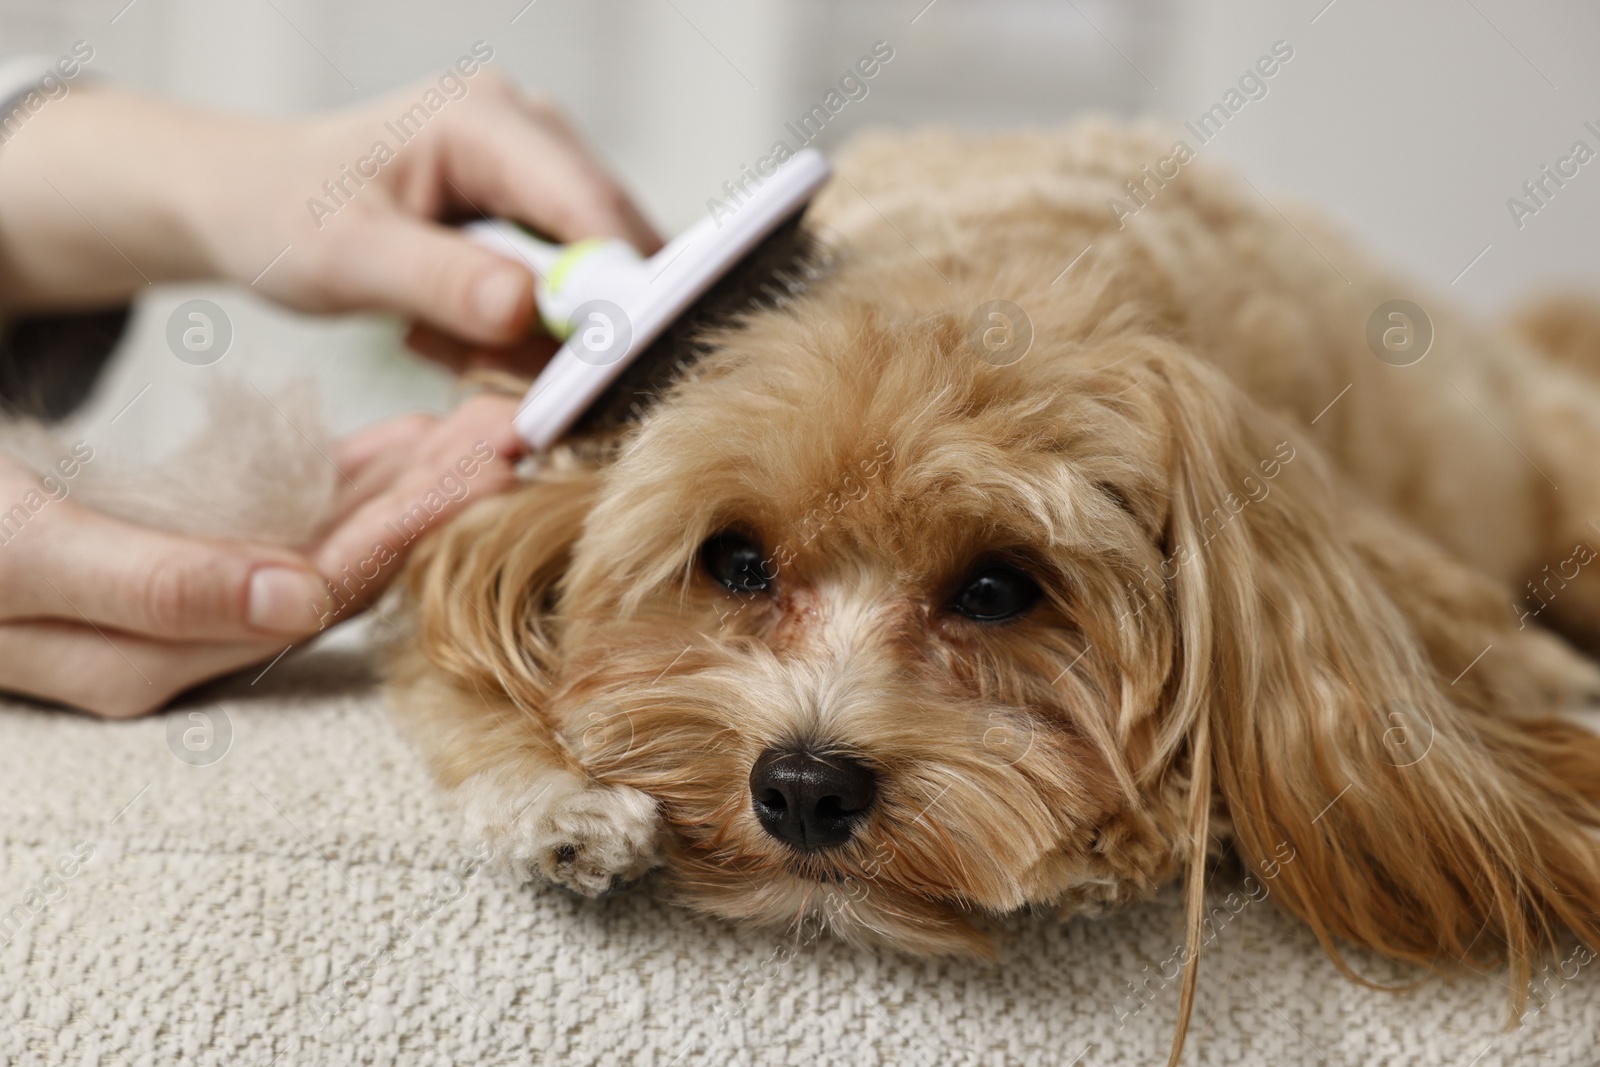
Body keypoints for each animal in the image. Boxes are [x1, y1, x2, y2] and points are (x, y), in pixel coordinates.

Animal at [384, 125, 1600, 1062]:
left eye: (995, 587)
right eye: (735, 561)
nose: (805, 787)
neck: (981, 282)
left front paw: (1128, 838)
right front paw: (556, 800)